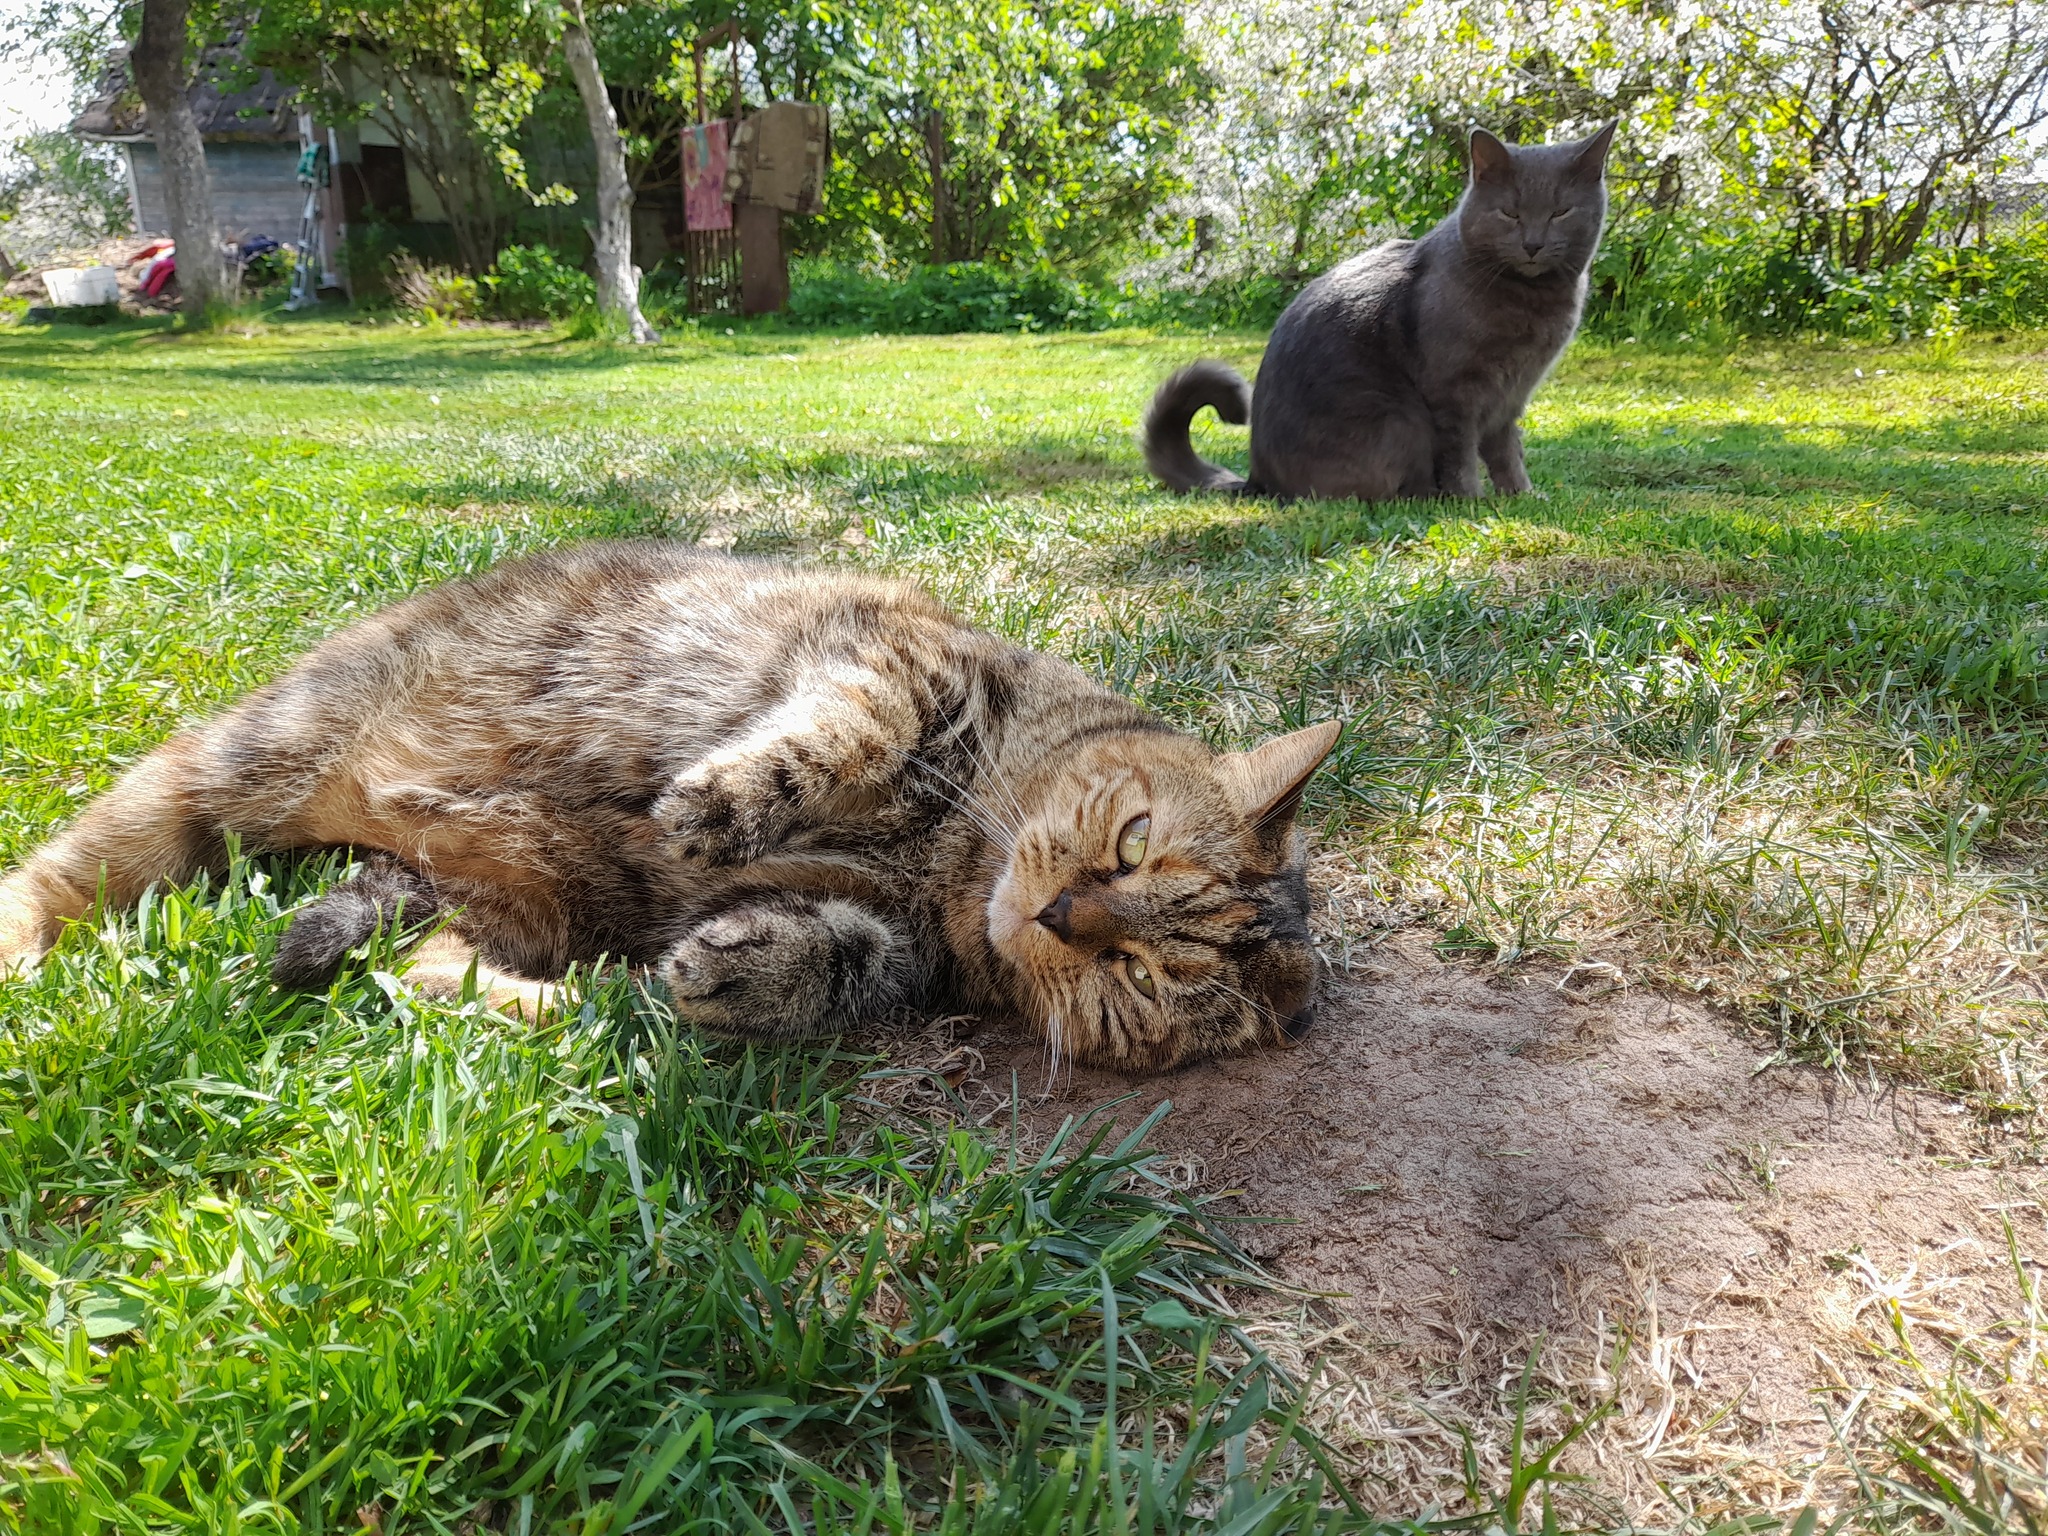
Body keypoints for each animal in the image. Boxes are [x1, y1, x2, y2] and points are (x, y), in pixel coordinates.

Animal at [0, 548, 1335, 1073]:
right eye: (1131, 839)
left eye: (1144, 975)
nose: (1059, 915)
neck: (956, 859)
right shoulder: (889, 660)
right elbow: (837, 737)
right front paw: (717, 802)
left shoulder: (885, 933)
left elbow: (837, 956)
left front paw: (736, 972)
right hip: (236, 767)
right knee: (64, 869)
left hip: (509, 902)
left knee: (425, 976)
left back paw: (595, 1008)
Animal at [1146, 123, 1605, 505]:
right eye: (1509, 212)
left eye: (1561, 211)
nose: (1533, 244)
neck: (1530, 302)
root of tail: (1259, 480)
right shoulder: (1454, 393)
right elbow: (1460, 454)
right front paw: (1471, 501)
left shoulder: (1511, 395)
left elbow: (1508, 451)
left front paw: (1521, 495)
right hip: (1400, 420)